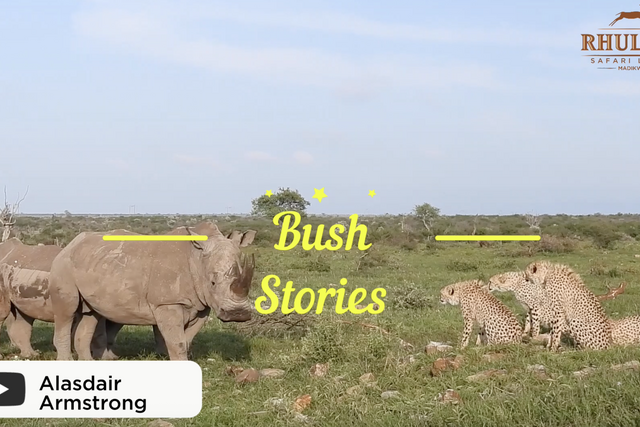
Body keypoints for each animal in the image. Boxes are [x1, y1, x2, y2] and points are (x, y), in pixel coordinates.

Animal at [49, 221, 255, 360]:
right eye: (212, 282)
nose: (238, 314)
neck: (197, 258)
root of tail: (70, 244)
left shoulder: (201, 304)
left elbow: (186, 340)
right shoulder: (167, 302)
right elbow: (177, 342)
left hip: (92, 263)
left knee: (91, 314)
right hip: (63, 265)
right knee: (67, 312)